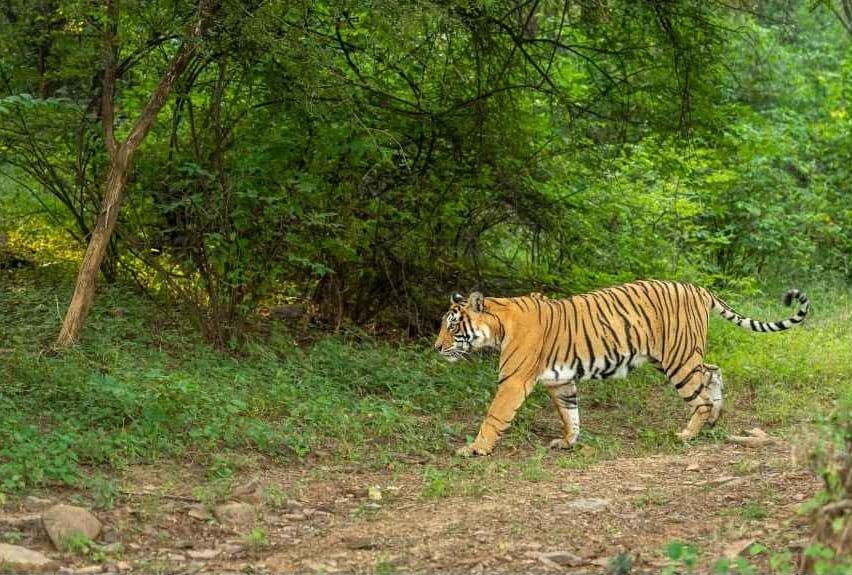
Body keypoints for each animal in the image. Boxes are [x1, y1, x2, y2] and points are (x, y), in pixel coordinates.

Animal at [433, 280, 809, 457]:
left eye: (452, 326)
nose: (436, 347)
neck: (499, 324)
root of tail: (698, 287)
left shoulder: (513, 381)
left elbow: (494, 417)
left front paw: (475, 449)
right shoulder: (560, 381)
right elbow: (570, 414)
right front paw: (568, 442)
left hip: (678, 359)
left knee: (700, 395)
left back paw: (688, 434)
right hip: (676, 357)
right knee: (713, 371)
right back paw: (714, 420)